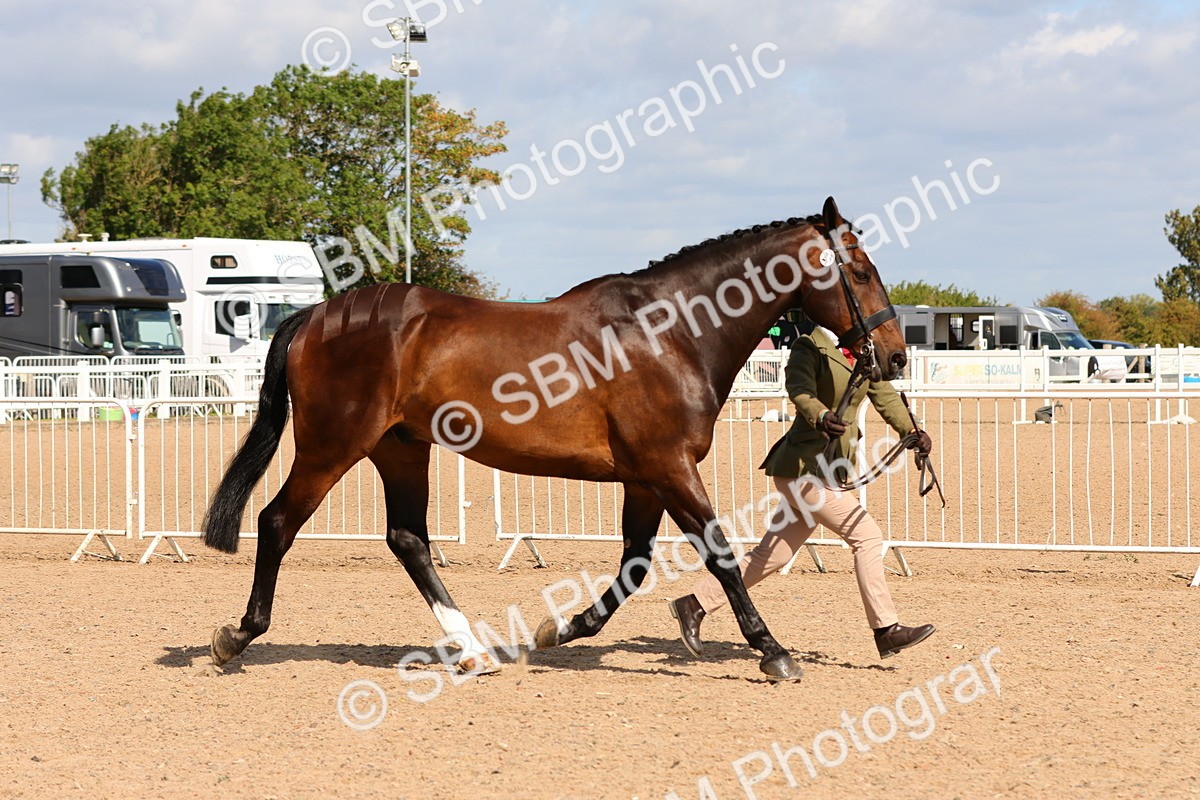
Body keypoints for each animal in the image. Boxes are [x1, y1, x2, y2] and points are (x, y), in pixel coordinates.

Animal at [201, 196, 907, 682]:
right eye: (860, 269)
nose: (895, 355)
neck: (671, 331)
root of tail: (317, 314)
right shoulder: (671, 468)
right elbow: (720, 555)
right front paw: (773, 652)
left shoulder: (645, 478)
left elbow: (635, 563)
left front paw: (562, 628)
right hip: (333, 447)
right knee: (277, 522)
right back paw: (237, 637)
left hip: (400, 448)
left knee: (407, 539)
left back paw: (474, 651)